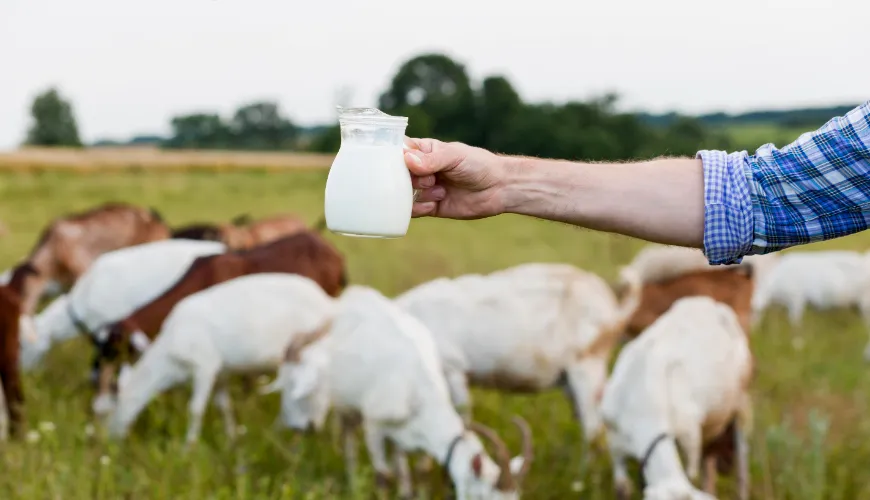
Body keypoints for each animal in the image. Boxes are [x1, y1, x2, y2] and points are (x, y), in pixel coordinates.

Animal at [108, 274, 338, 446]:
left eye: (115, 404)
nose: (110, 439)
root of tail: (328, 303)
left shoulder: (205, 365)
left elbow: (196, 408)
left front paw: (188, 448)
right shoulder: (221, 373)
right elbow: (223, 406)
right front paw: (231, 440)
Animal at [262, 286, 536, 500]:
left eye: (515, 498)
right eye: (481, 495)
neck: (418, 389)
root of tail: (353, 296)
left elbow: (415, 476)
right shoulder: (374, 424)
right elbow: (383, 475)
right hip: (345, 402)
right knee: (349, 438)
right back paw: (352, 479)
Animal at [396, 262, 640, 446]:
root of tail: (613, 308)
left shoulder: (453, 371)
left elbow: (462, 421)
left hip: (588, 371)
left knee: (595, 433)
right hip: (569, 383)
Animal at [604, 296, 752, 500]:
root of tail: (708, 302)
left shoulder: (690, 439)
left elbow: (692, 475)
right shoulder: (615, 440)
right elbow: (622, 487)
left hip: (741, 401)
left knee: (741, 461)